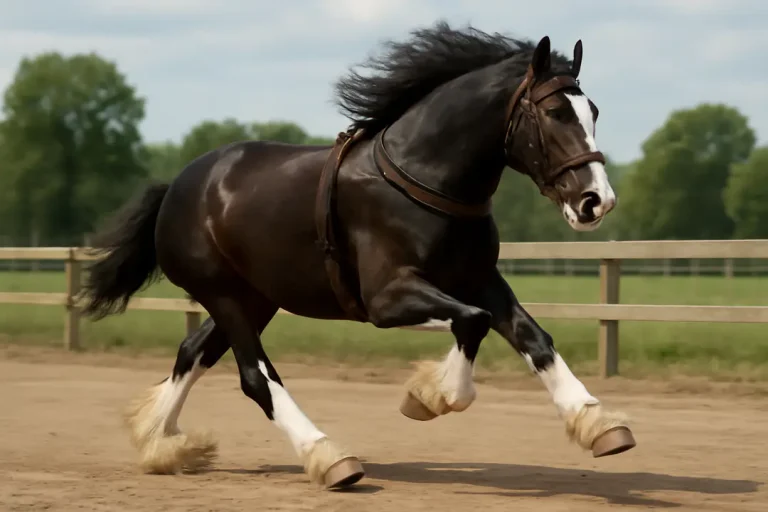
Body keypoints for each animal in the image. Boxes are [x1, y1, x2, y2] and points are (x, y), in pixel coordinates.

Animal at [80, 22, 634, 490]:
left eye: (594, 111)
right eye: (556, 112)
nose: (597, 201)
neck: (425, 179)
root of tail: (177, 187)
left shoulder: (480, 278)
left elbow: (531, 336)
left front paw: (600, 425)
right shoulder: (388, 299)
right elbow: (472, 322)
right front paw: (429, 397)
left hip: (256, 299)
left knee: (193, 351)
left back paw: (161, 443)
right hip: (225, 296)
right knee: (256, 377)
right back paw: (329, 458)